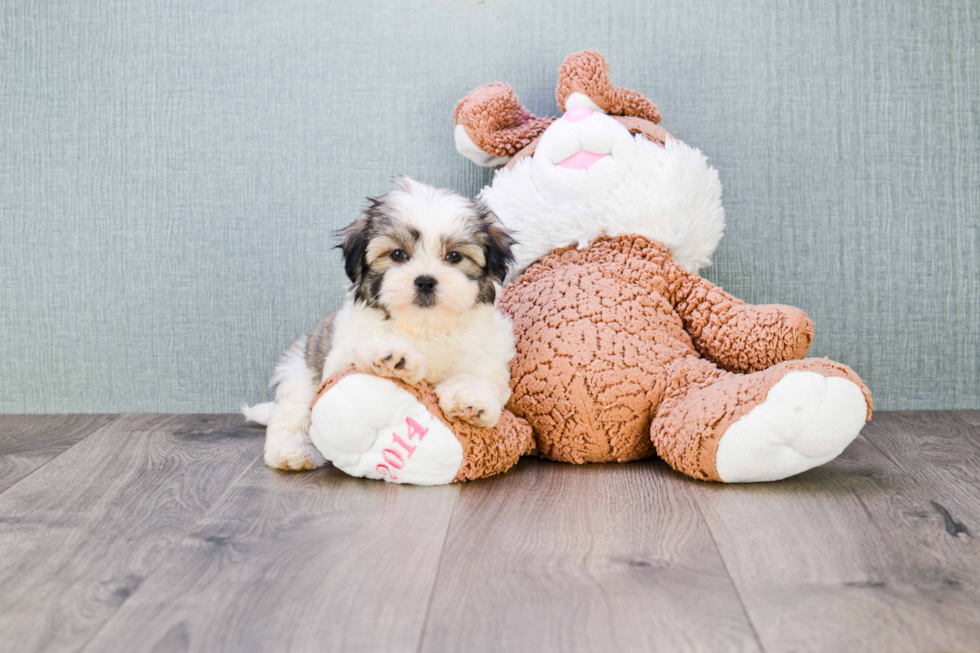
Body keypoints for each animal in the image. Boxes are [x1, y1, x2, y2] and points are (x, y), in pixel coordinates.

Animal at [244, 177, 516, 468]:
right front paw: (393, 354)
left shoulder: (488, 358)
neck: (425, 326)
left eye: (454, 256)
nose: (425, 280)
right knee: (291, 417)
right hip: (300, 374)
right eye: (397, 255)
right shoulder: (340, 358)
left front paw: (470, 398)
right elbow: (359, 352)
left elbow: (480, 379)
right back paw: (291, 451)